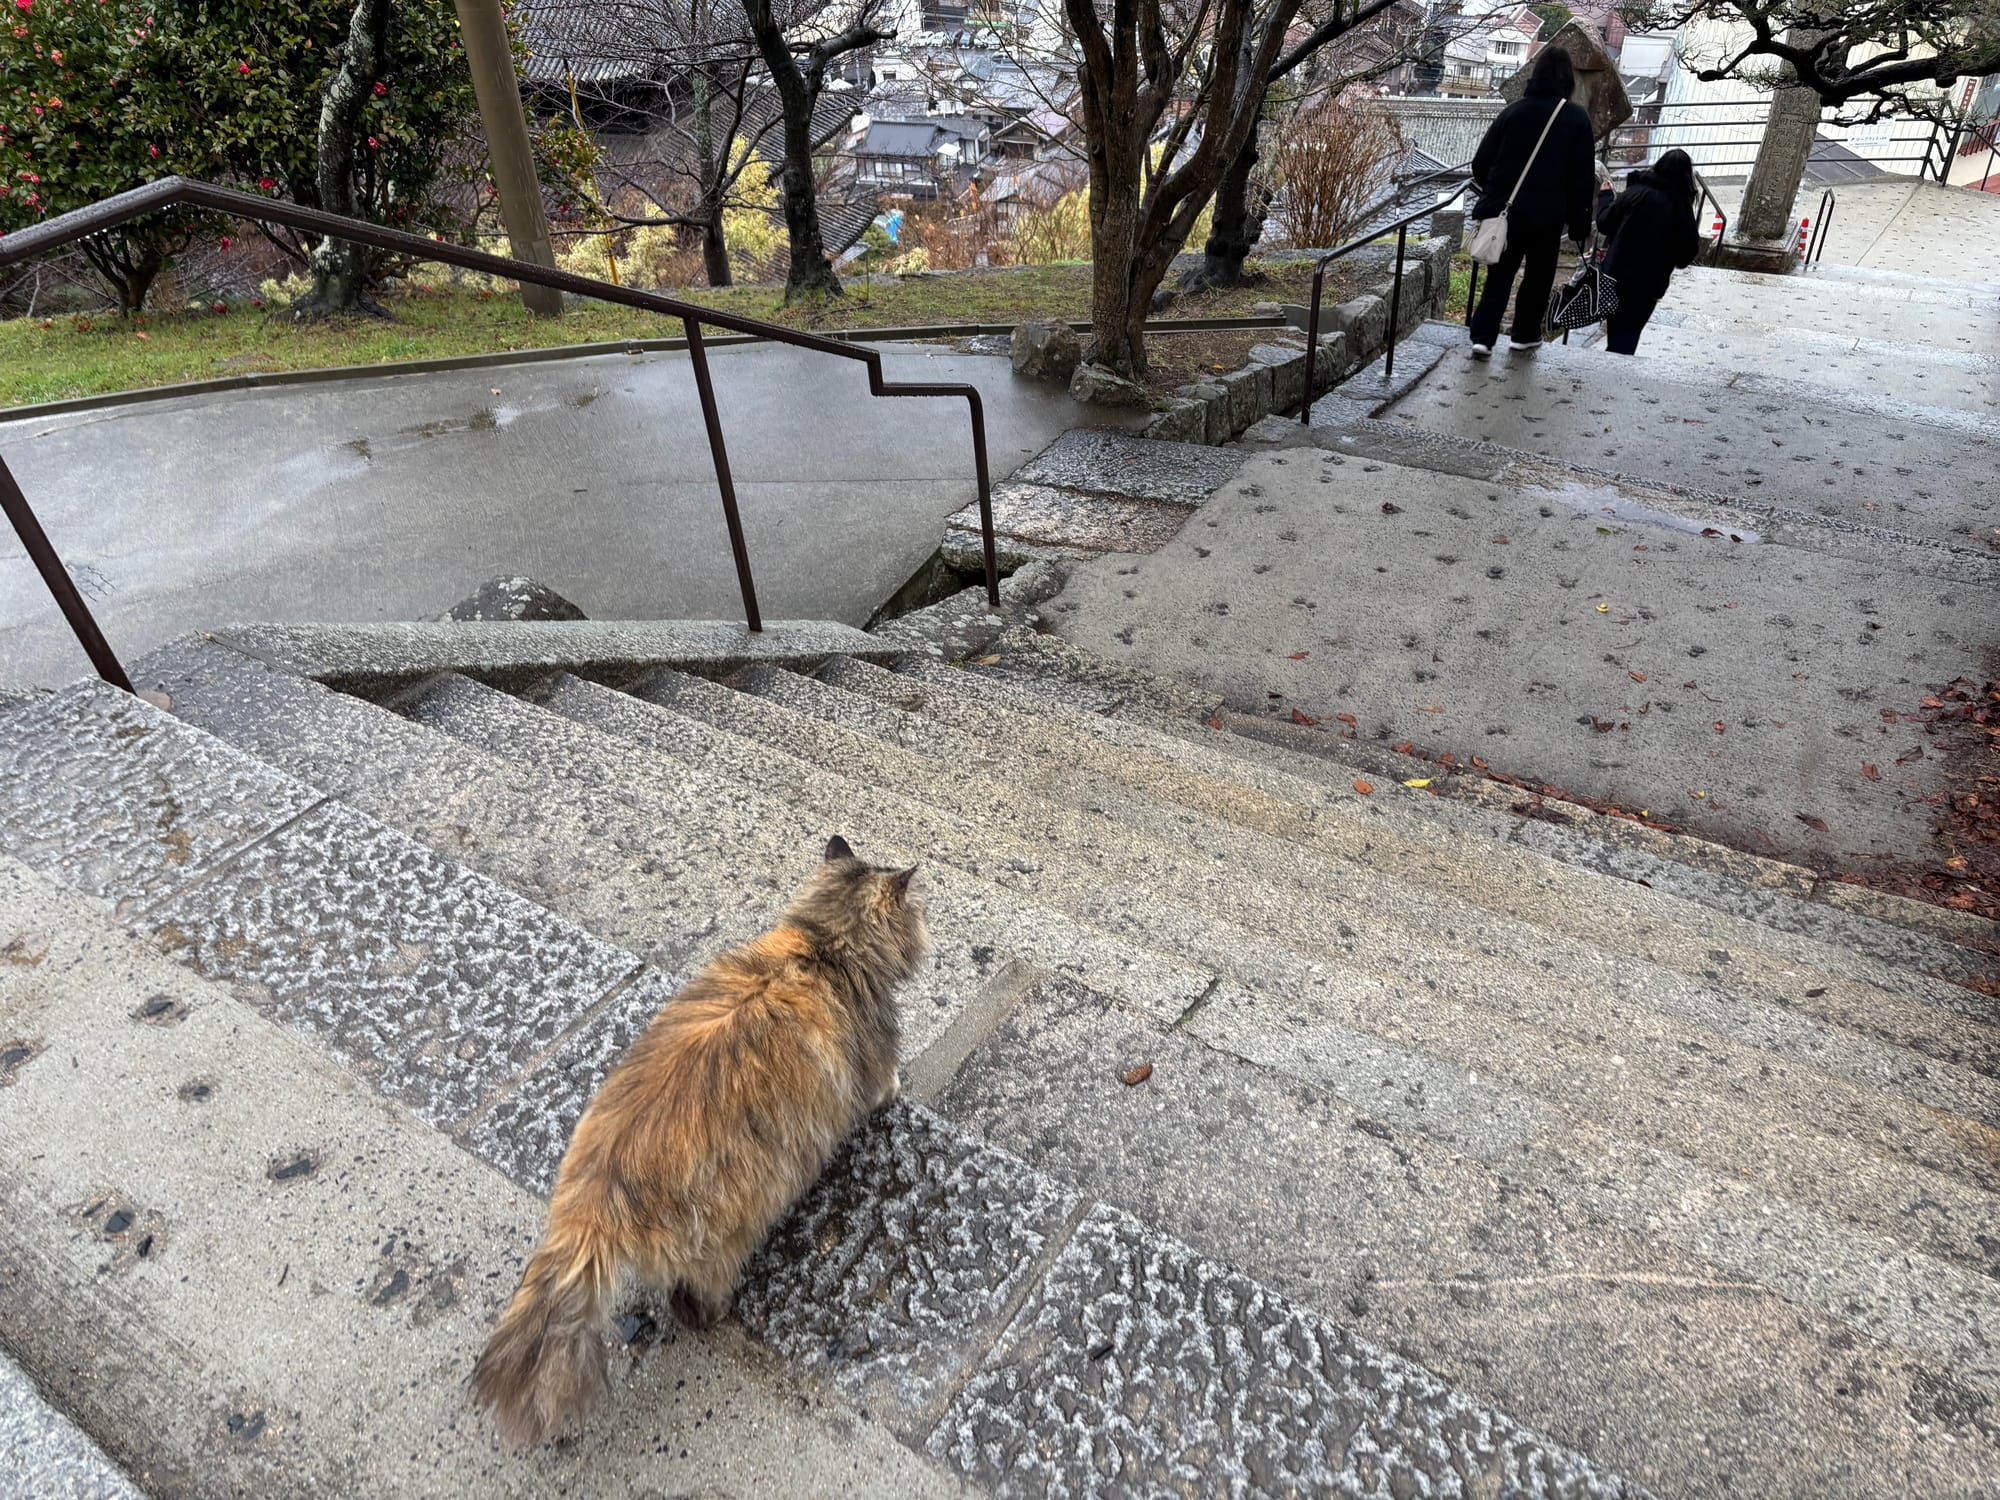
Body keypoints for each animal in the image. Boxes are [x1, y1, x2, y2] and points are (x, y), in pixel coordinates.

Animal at [473, 835, 927, 1447]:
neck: (823, 948)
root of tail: (594, 1208)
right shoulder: (876, 1067)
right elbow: (887, 1086)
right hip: (727, 1232)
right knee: (696, 1295)